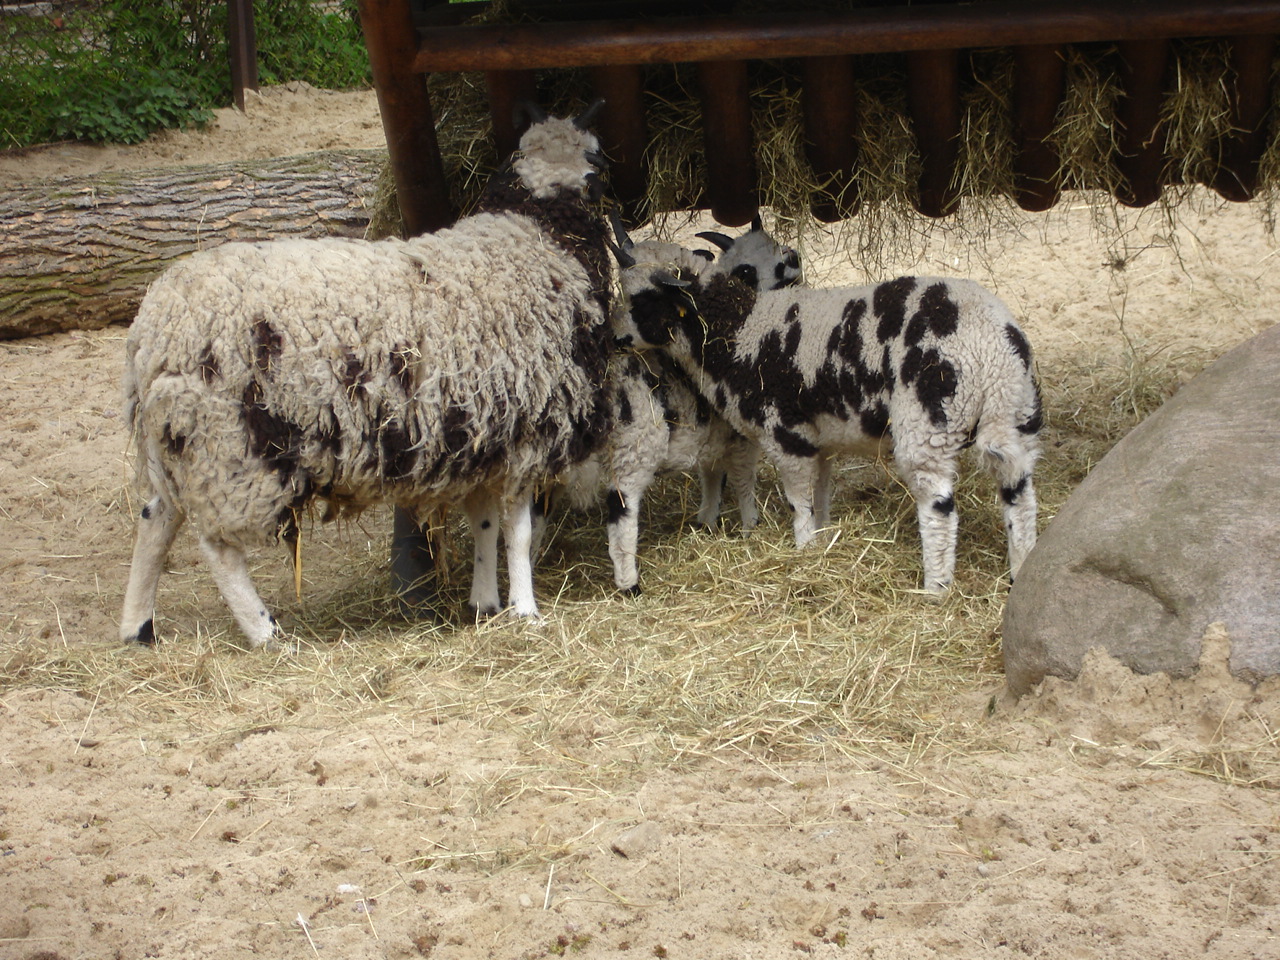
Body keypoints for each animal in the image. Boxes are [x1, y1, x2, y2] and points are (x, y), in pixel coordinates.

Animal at [119, 106, 614, 648]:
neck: (541, 230)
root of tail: (151, 328)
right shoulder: (526, 429)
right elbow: (518, 532)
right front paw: (525, 611)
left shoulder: (480, 433)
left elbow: (484, 522)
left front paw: (484, 604)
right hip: (228, 446)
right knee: (218, 547)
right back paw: (266, 633)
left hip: (178, 438)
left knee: (155, 519)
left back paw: (137, 627)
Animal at [609, 235, 1043, 594]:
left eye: (642, 300)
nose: (615, 339)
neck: (737, 330)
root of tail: (993, 346)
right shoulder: (821, 438)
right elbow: (821, 492)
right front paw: (822, 539)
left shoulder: (786, 433)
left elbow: (798, 500)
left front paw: (803, 550)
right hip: (1017, 415)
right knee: (1019, 498)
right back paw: (1020, 573)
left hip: (928, 425)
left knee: (939, 509)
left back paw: (936, 587)